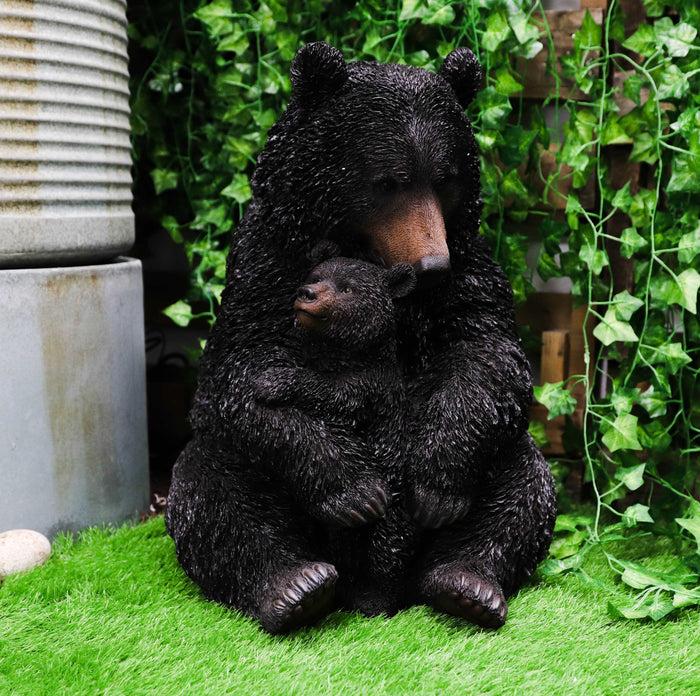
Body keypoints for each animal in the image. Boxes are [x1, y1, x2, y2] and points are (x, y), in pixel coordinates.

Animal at [252, 252, 419, 619]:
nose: (307, 293)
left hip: (390, 513)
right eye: (315, 276)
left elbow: (328, 392)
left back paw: (373, 599)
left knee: (386, 551)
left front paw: (273, 380)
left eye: (346, 287)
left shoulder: (369, 386)